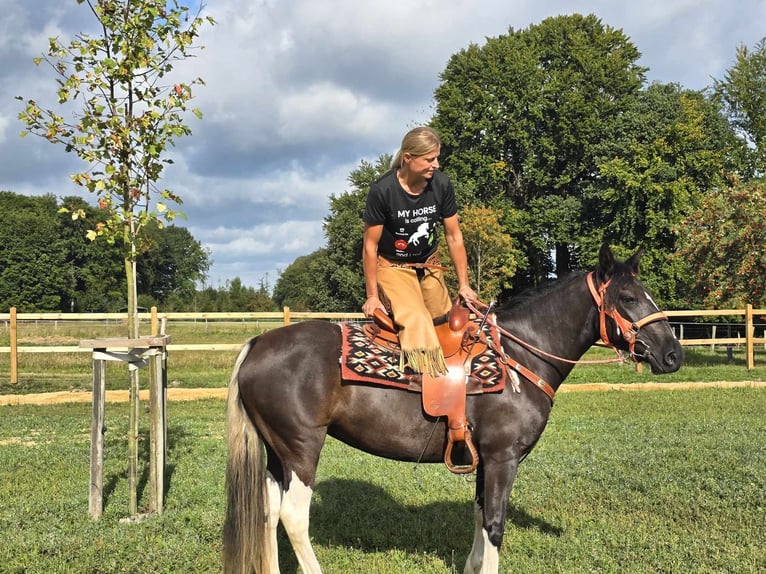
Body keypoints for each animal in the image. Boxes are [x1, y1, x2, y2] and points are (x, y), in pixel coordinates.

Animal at [222, 245, 684, 572]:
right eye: (628, 298)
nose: (673, 355)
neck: (520, 354)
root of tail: (258, 344)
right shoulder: (503, 457)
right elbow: (494, 525)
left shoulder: (486, 460)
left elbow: (479, 518)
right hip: (302, 450)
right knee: (293, 517)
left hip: (277, 454)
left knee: (268, 514)